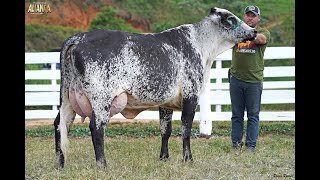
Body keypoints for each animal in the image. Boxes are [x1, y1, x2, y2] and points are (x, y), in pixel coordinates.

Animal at [53, 7, 256, 169]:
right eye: (231, 18)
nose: (253, 31)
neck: (201, 45)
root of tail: (79, 37)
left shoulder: (166, 103)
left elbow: (165, 130)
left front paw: (164, 158)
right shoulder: (191, 95)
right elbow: (186, 128)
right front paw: (188, 159)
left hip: (68, 98)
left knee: (60, 124)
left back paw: (60, 164)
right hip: (101, 99)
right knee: (96, 127)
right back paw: (102, 165)